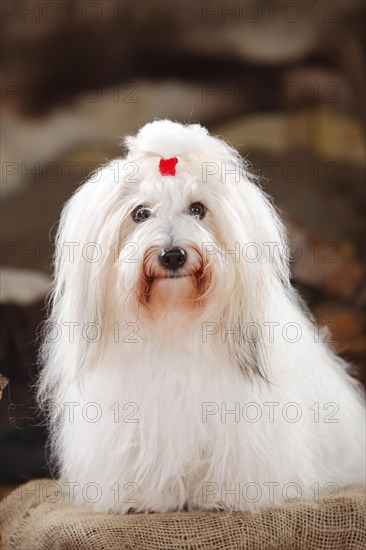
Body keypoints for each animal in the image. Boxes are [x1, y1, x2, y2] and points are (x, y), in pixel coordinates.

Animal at [38, 119, 364, 512]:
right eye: (140, 213)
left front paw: (221, 496)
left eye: (197, 209)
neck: (173, 319)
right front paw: (145, 498)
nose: (173, 255)